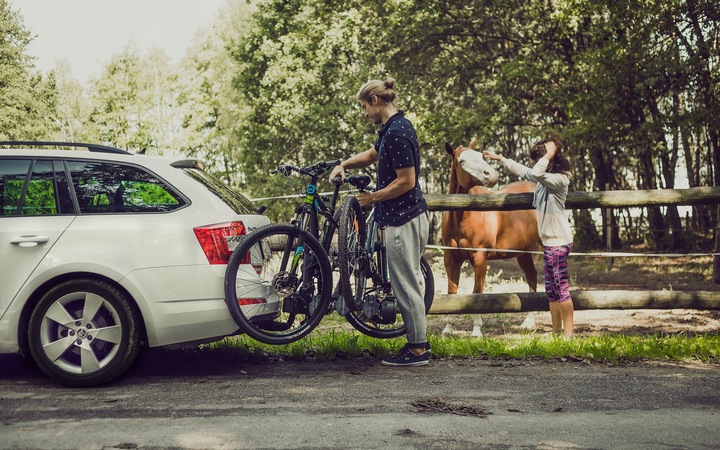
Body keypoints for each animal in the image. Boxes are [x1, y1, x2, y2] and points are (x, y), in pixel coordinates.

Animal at [438, 139, 540, 336]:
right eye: (461, 161)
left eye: (481, 156)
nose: (491, 175)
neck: (464, 215)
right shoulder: (451, 258)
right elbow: (452, 291)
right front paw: (447, 329)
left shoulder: (480, 257)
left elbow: (477, 292)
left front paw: (477, 331)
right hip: (524, 254)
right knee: (532, 277)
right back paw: (528, 322)